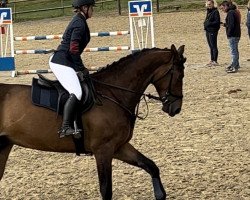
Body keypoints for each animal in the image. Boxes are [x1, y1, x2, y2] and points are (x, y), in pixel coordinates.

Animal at [0, 44, 186, 199]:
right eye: (178, 75)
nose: (176, 108)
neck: (113, 94)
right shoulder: (103, 150)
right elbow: (106, 190)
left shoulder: (119, 147)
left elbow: (150, 166)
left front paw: (160, 194)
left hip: (4, 145)